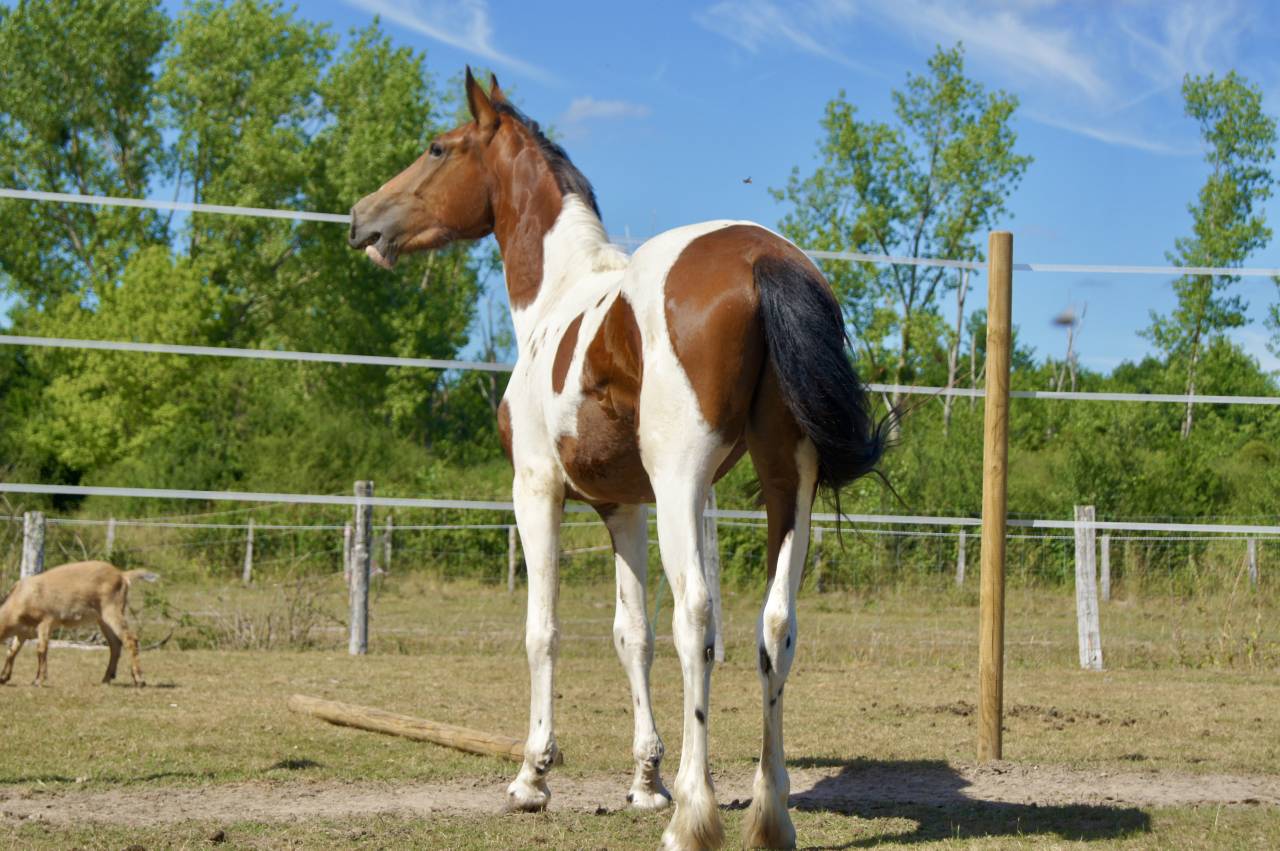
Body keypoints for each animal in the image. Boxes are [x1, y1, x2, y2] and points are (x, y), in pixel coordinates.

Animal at [348, 69, 885, 851]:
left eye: (437, 147)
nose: (362, 219)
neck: (557, 299)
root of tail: (766, 260)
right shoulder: (624, 506)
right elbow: (634, 635)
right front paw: (644, 782)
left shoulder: (538, 491)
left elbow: (544, 631)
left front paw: (533, 778)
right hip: (789, 484)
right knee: (775, 626)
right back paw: (769, 815)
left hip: (684, 485)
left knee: (700, 618)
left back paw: (695, 814)